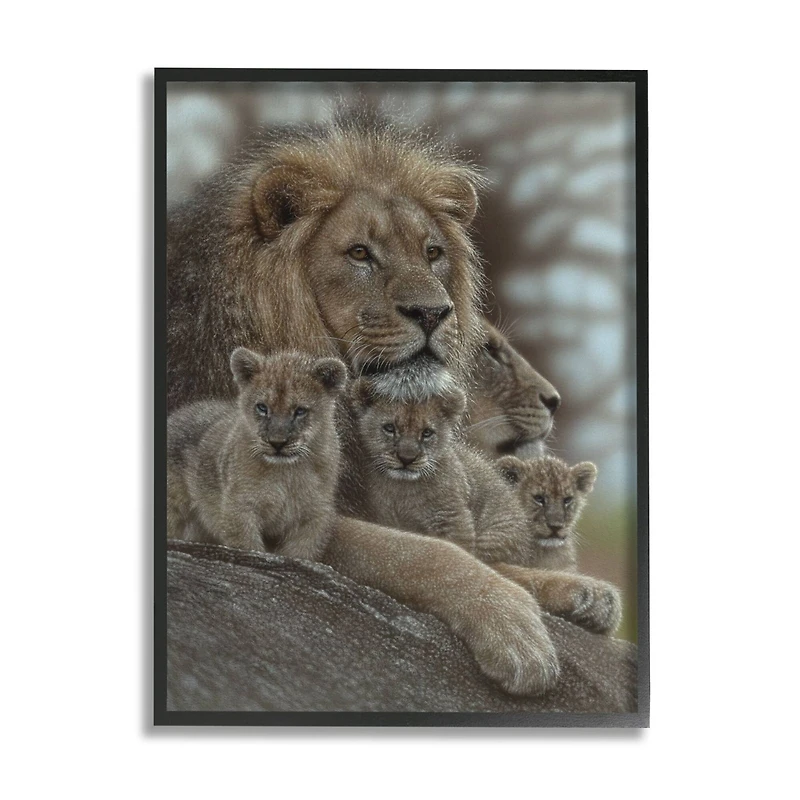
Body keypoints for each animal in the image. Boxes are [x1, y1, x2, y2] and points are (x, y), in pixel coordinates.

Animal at [167, 109, 609, 696]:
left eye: (432, 253)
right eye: (360, 253)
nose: (433, 313)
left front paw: (582, 594)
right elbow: (420, 553)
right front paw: (515, 628)